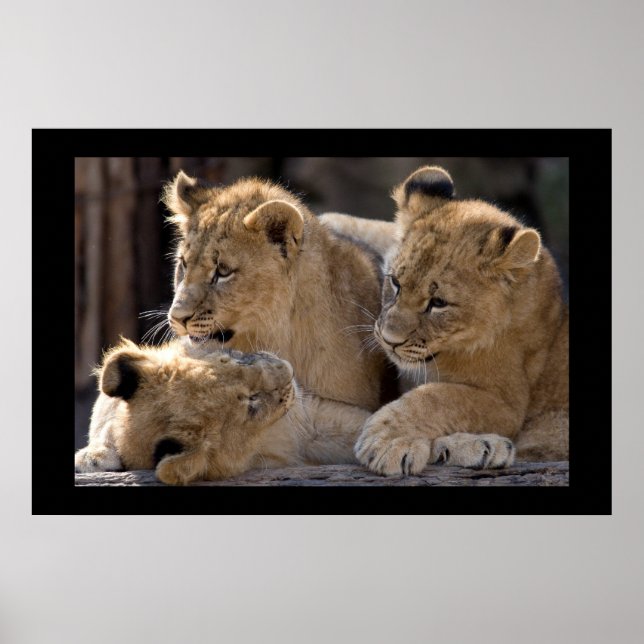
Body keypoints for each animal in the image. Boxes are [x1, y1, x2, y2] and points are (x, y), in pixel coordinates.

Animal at [348, 165, 568, 476]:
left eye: (438, 303)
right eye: (395, 282)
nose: (390, 341)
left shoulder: (507, 403)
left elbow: (439, 398)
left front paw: (388, 441)